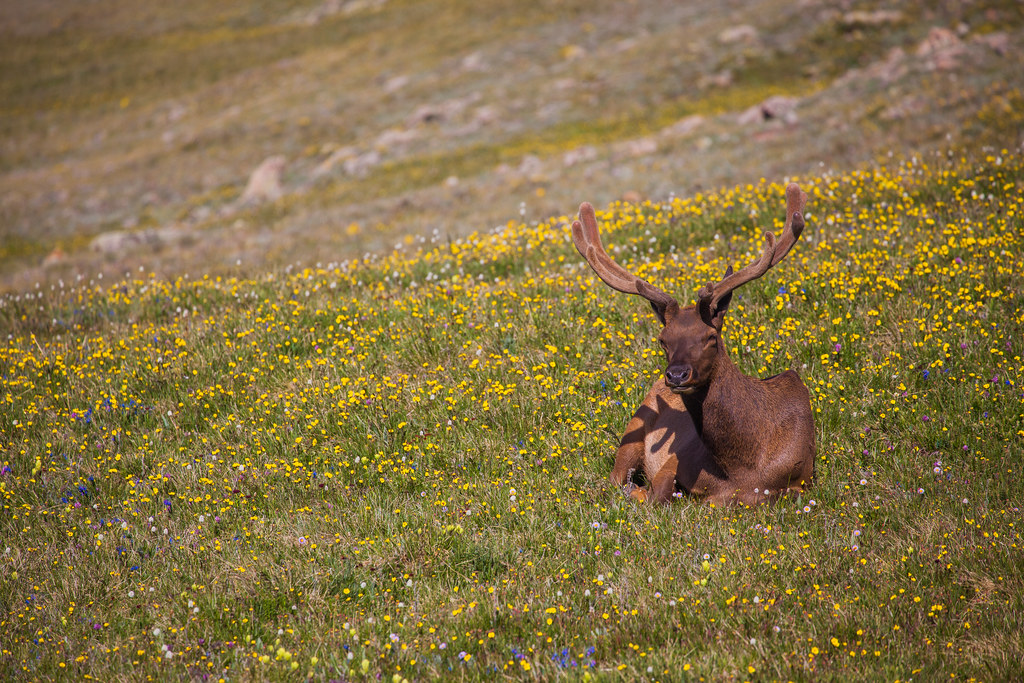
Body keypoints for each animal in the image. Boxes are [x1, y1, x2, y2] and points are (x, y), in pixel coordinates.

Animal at [571, 183, 815, 506]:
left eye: (710, 337)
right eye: (663, 339)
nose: (676, 375)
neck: (745, 469)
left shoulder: (802, 480)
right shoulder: (675, 459)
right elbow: (656, 494)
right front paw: (641, 492)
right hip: (634, 427)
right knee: (611, 480)